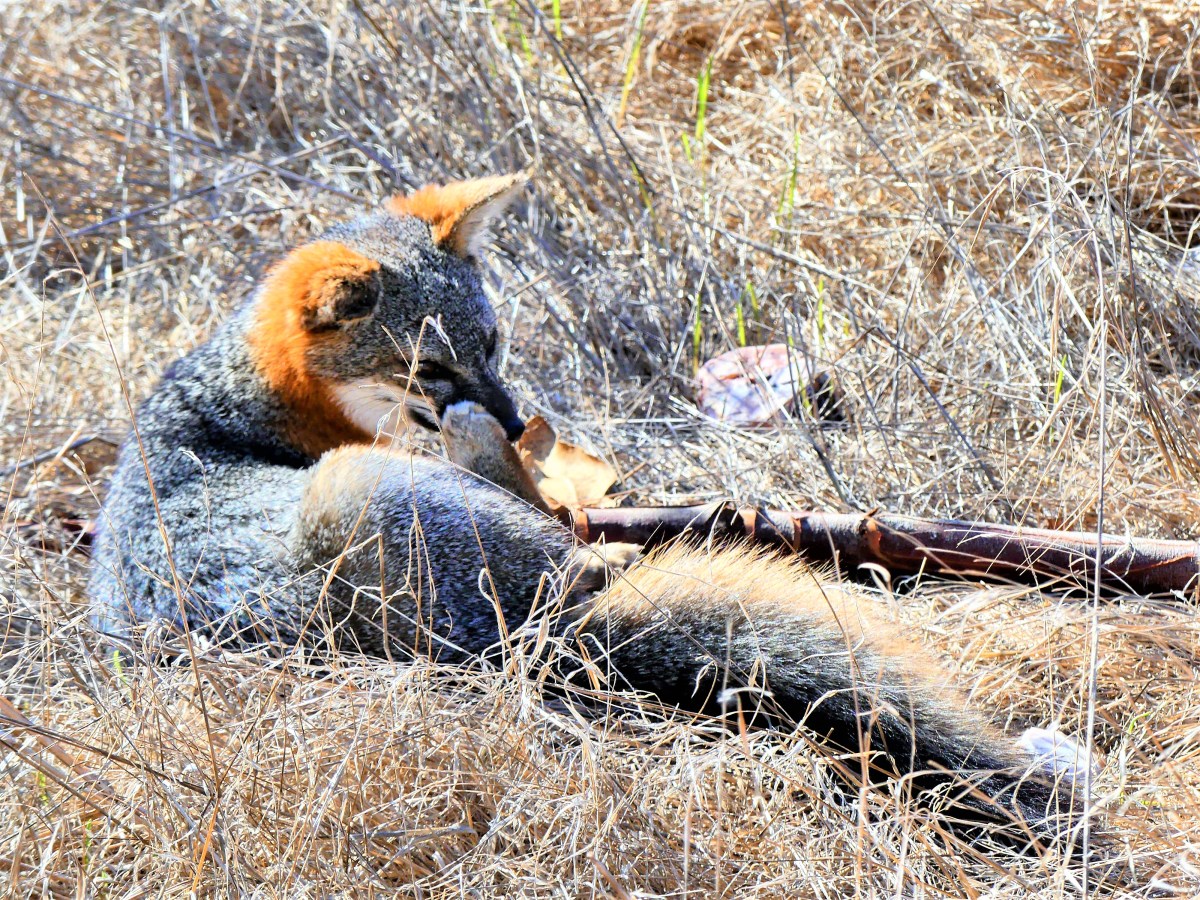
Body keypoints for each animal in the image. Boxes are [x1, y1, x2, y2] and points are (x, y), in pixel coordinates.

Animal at [89, 173, 1086, 854]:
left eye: (493, 343)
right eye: (429, 368)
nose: (512, 416)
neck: (251, 400)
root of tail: (534, 646)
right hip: (372, 492)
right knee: (587, 554)